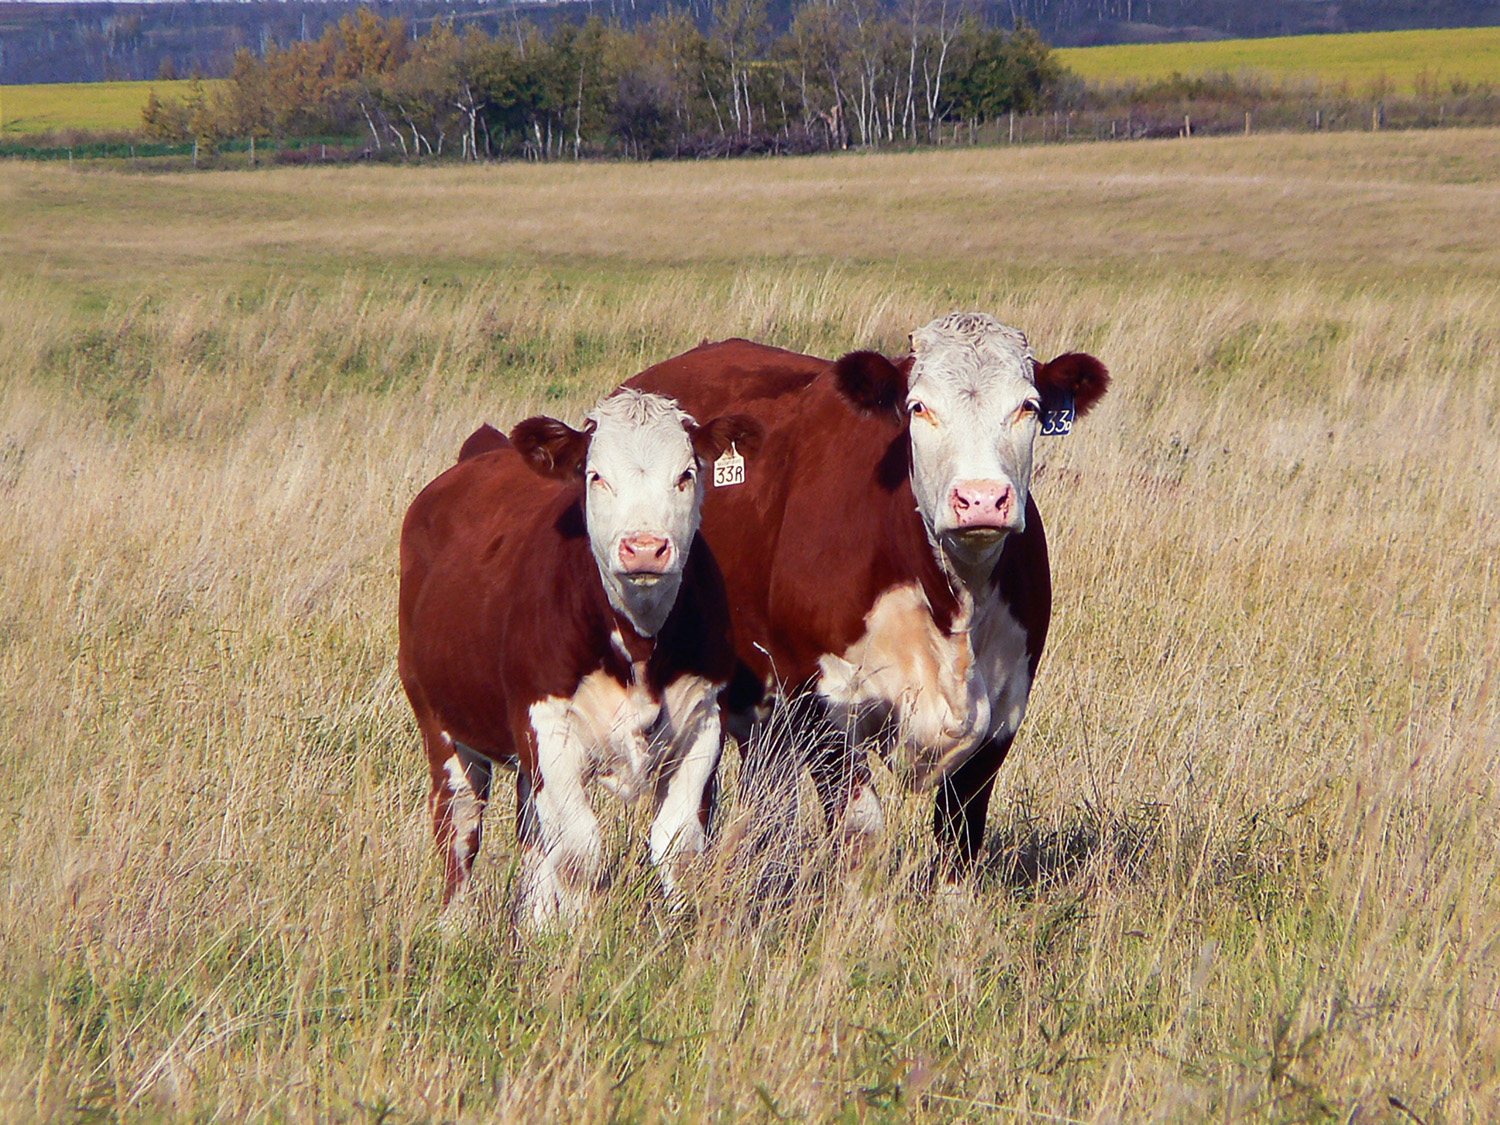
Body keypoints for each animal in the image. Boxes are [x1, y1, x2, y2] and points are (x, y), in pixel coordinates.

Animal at [396, 387, 756, 924]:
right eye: (596, 475)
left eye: (686, 474)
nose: (644, 548)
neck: (639, 642)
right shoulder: (548, 727)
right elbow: (578, 852)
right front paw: (572, 935)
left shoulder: (702, 722)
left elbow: (678, 847)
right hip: (440, 723)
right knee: (459, 826)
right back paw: (454, 925)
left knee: (530, 830)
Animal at [627, 318, 1110, 870]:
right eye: (919, 407)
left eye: (1028, 405)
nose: (982, 499)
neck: (953, 606)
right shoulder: (819, 703)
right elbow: (861, 828)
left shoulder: (1004, 711)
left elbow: (959, 836)